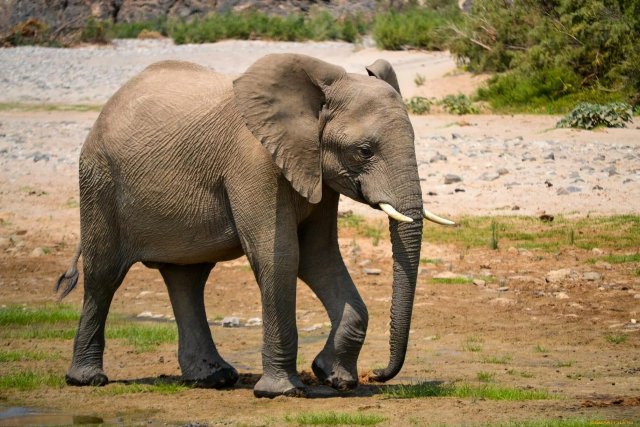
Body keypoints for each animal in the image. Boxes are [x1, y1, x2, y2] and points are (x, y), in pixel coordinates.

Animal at [56, 52, 456, 398]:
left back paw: (213, 378)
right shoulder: (255, 163)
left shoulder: (317, 171)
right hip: (99, 181)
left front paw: (335, 378)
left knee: (187, 279)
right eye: (364, 151)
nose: (379, 373)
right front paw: (284, 391)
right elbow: (281, 257)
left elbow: (319, 257)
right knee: (104, 276)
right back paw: (87, 380)